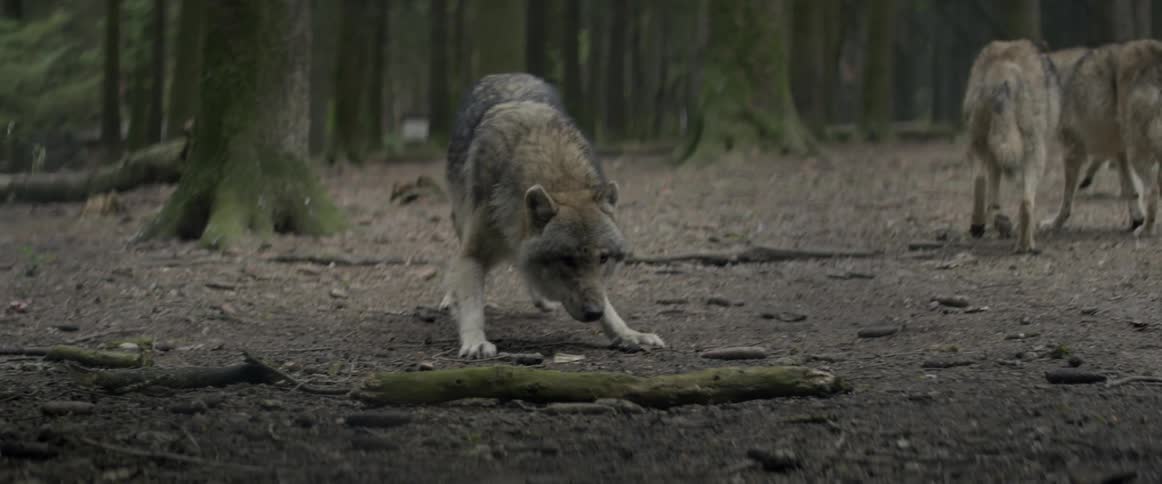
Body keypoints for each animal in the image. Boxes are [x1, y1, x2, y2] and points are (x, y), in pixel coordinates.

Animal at [439, 73, 665, 359]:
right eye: (567, 260)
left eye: (603, 258)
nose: (594, 312)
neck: (558, 177)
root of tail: (505, 74)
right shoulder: (474, 253)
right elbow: (471, 302)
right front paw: (475, 341)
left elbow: (609, 305)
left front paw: (627, 333)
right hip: (461, 219)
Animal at [963, 40, 1060, 253]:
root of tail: (1003, 72)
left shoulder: (994, 155)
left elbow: (993, 194)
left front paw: (999, 220)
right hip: (1036, 153)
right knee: (1026, 202)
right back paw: (1025, 245)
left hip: (979, 141)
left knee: (981, 181)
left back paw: (981, 227)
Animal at [1040, 43, 1145, 233]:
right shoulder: (1119, 150)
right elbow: (1132, 189)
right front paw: (1137, 219)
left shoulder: (1072, 150)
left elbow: (1067, 199)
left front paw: (1055, 223)